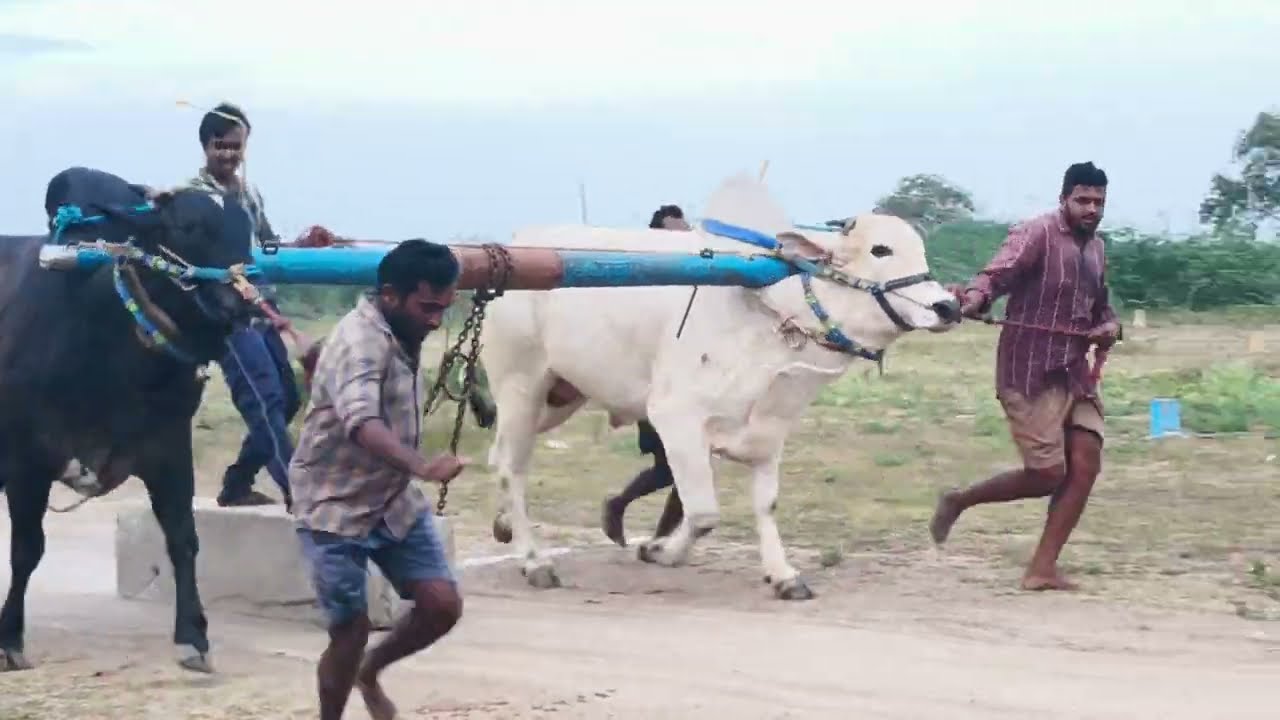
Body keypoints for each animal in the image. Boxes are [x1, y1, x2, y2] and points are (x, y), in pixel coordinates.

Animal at [0, 166, 258, 673]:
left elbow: (183, 538)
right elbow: (26, 549)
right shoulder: (26, 459)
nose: (242, 303)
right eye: (187, 227)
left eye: (248, 228)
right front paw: (9, 639)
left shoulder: (168, 447)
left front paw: (192, 635)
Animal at [477, 173, 962, 599]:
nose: (948, 306)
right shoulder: (675, 419)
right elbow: (705, 513)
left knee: (498, 455)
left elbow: (766, 506)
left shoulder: (770, 434)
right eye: (881, 249)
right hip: (521, 385)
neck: (772, 313)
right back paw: (535, 561)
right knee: (511, 467)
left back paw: (504, 525)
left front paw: (783, 575)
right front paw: (661, 550)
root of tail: (518, 242)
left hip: (560, 395)